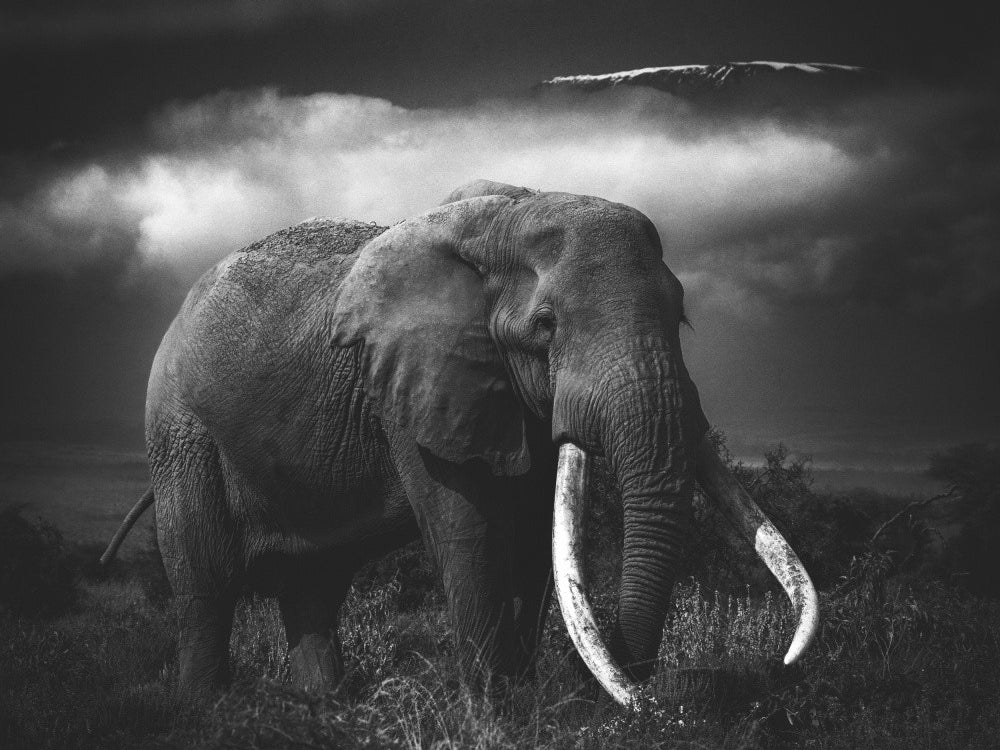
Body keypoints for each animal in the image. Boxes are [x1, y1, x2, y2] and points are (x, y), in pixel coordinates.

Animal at [101, 179, 818, 707]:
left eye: (682, 316)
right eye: (545, 326)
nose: (655, 692)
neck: (506, 219)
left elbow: (531, 539)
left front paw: (521, 703)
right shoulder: (413, 385)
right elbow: (469, 533)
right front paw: (494, 711)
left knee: (316, 581)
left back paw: (321, 705)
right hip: (181, 433)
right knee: (206, 580)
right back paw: (207, 708)